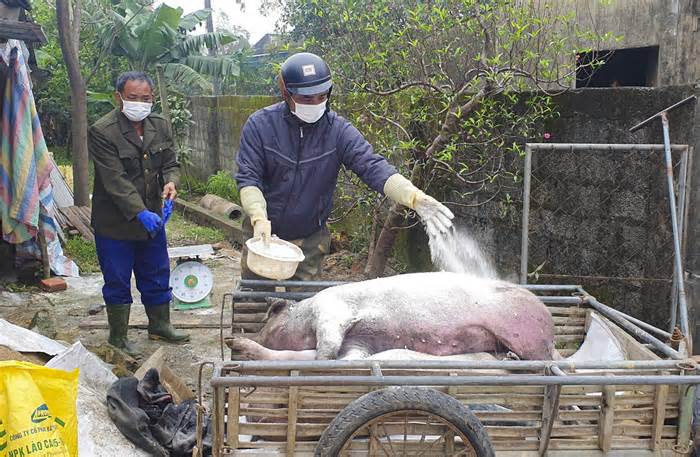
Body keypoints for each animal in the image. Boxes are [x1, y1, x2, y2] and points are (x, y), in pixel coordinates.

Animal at [227, 270, 556, 360]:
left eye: (268, 322)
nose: (252, 334)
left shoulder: (332, 309)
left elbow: (327, 343)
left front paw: (323, 358)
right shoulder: (360, 343)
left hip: (525, 332)